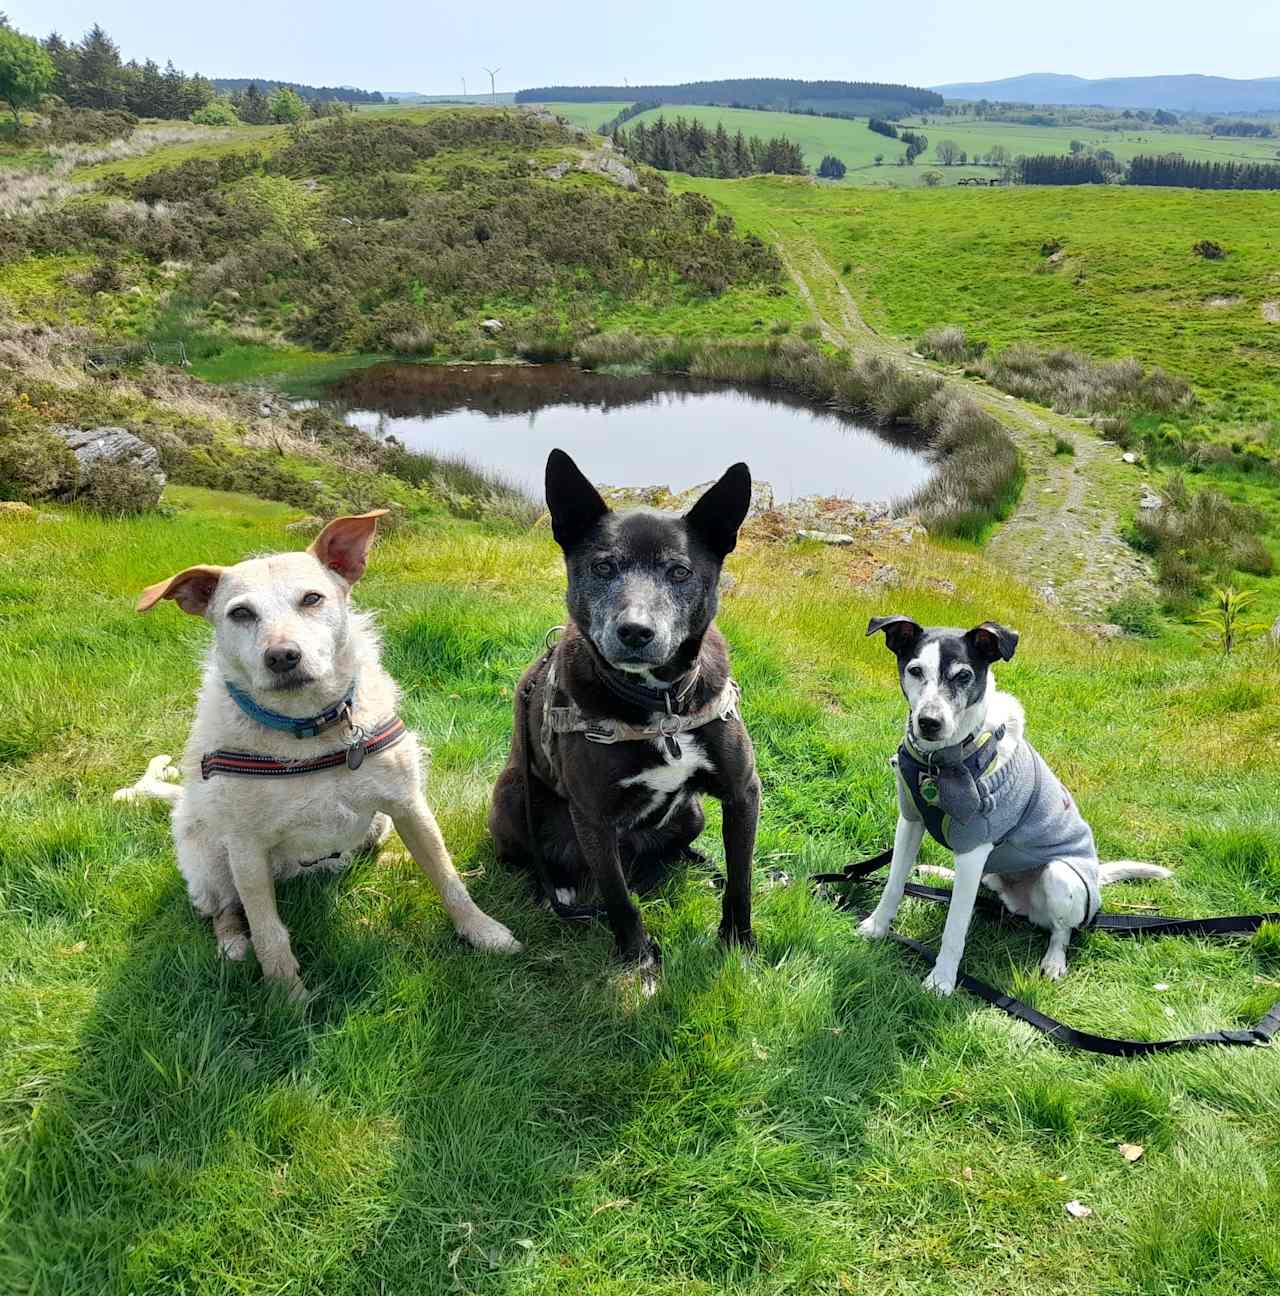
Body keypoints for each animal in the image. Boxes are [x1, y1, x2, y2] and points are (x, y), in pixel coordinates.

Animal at [117, 510, 523, 995]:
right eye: (240, 613)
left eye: (312, 598)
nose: (282, 656)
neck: (309, 730)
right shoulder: (246, 849)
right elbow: (268, 930)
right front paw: (286, 996)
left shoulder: (408, 805)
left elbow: (447, 876)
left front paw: (481, 930)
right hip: (210, 858)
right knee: (223, 909)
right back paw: (233, 942)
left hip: (380, 824)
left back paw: (395, 860)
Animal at [484, 451, 756, 974]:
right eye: (603, 566)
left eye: (679, 572)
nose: (635, 631)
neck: (661, 706)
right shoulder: (594, 819)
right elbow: (618, 899)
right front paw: (638, 960)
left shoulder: (742, 793)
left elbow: (741, 880)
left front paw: (739, 942)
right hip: (512, 796)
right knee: (535, 862)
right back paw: (553, 891)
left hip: (692, 814)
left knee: (668, 855)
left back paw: (690, 865)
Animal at [860, 614, 1171, 990]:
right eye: (915, 670)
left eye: (963, 676)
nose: (929, 722)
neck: (941, 762)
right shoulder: (911, 820)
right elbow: (894, 884)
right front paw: (877, 927)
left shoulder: (976, 845)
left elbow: (955, 926)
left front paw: (941, 981)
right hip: (993, 871)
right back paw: (940, 872)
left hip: (1060, 876)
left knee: (1062, 931)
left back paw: (1053, 961)